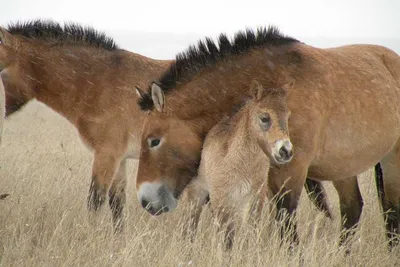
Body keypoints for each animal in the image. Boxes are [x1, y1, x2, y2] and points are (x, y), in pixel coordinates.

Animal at [186, 80, 292, 249]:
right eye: (264, 117)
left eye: (288, 116)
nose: (286, 151)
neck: (241, 164)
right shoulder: (221, 200)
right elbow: (228, 238)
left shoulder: (255, 199)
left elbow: (251, 233)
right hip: (197, 195)